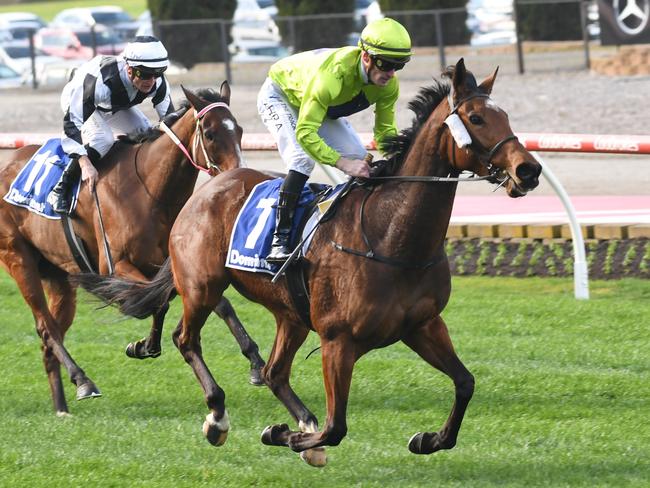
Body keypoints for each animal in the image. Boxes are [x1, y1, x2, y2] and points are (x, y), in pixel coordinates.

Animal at [0, 81, 264, 416]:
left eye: (239, 130)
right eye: (210, 133)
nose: (239, 175)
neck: (149, 190)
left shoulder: (175, 264)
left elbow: (218, 304)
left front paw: (255, 361)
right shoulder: (116, 266)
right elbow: (158, 302)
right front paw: (146, 345)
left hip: (59, 277)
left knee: (51, 336)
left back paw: (62, 407)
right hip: (19, 260)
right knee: (45, 327)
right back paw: (83, 380)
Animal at [73, 60, 540, 466]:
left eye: (505, 115)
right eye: (476, 118)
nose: (529, 170)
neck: (391, 234)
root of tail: (207, 189)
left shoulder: (423, 325)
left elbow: (465, 383)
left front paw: (429, 439)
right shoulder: (338, 340)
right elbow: (336, 427)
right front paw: (286, 435)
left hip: (290, 313)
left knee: (275, 372)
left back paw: (297, 420)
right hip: (202, 286)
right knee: (186, 339)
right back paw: (219, 416)